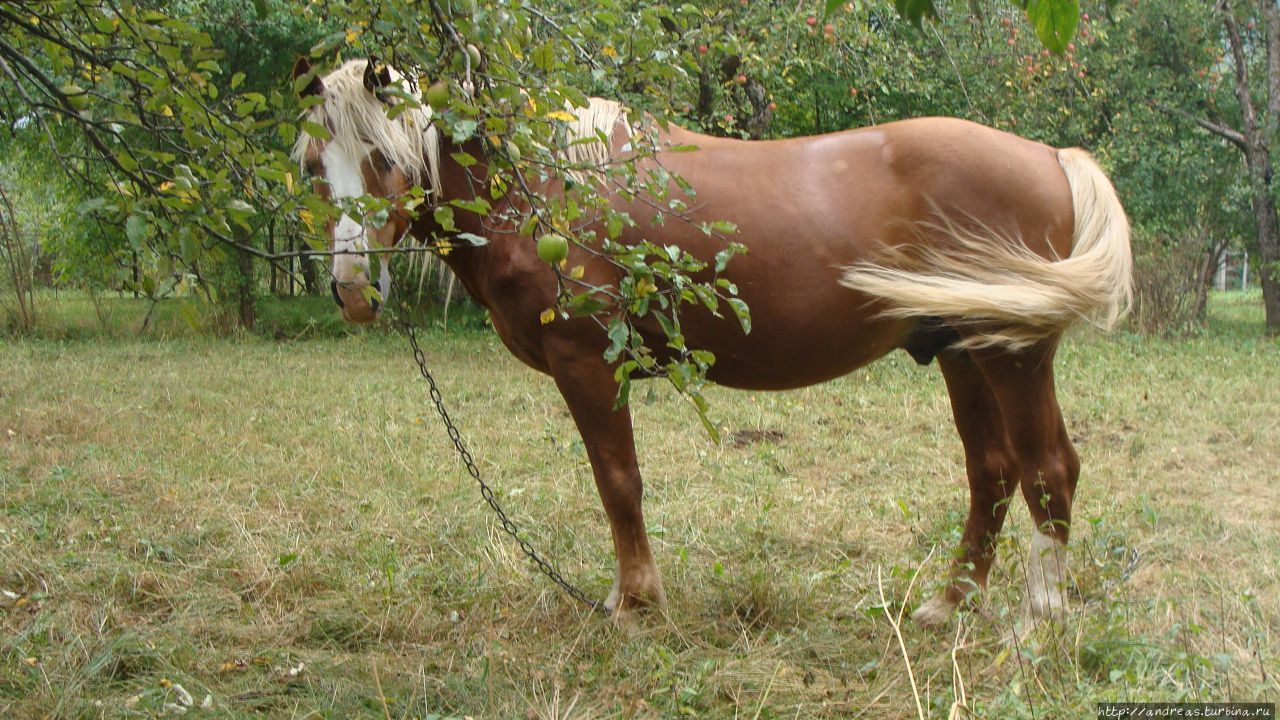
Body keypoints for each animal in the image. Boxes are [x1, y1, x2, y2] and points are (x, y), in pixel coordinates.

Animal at [290, 58, 1131, 625]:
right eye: (312, 166)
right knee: (992, 472)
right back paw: (947, 607)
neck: (545, 186)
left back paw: (1036, 623)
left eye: (385, 158)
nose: (353, 291)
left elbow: (618, 483)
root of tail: (1049, 157)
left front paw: (635, 605)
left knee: (1048, 469)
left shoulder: (588, 363)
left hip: (1012, 356)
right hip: (962, 352)